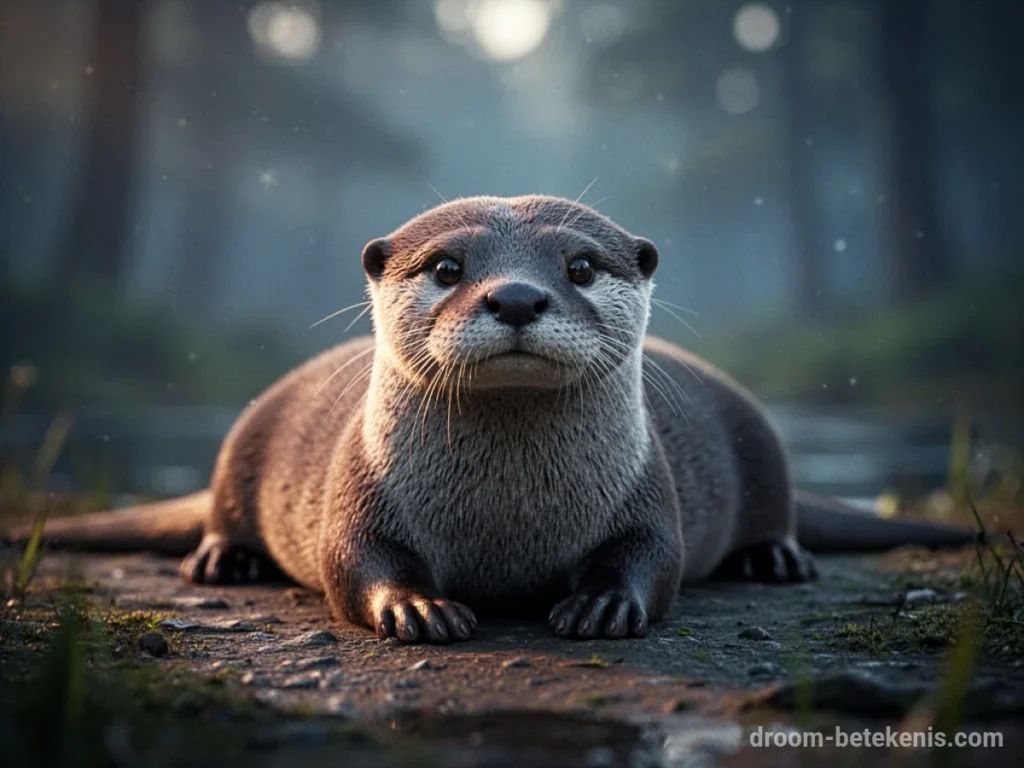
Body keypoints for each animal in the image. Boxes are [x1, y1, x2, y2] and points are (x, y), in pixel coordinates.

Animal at [6, 196, 974, 643]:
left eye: (580, 266)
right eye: (446, 266)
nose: (514, 297)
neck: (505, 519)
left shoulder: (646, 487)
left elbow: (653, 558)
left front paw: (601, 605)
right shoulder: (359, 487)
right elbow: (350, 559)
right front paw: (419, 607)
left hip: (758, 436)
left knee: (772, 509)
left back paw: (776, 557)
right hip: (246, 438)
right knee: (221, 506)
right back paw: (222, 558)